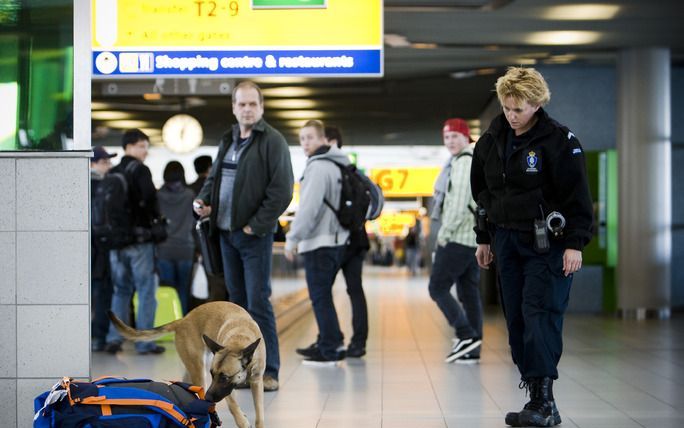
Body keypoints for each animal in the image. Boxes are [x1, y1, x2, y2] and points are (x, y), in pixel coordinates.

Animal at [108, 300, 266, 428]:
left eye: (224, 377)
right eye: (212, 374)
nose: (208, 397)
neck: (239, 339)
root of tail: (182, 320)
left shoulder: (256, 382)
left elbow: (259, 412)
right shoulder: (222, 388)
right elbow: (232, 405)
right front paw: (242, 421)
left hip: (192, 369)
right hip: (198, 370)